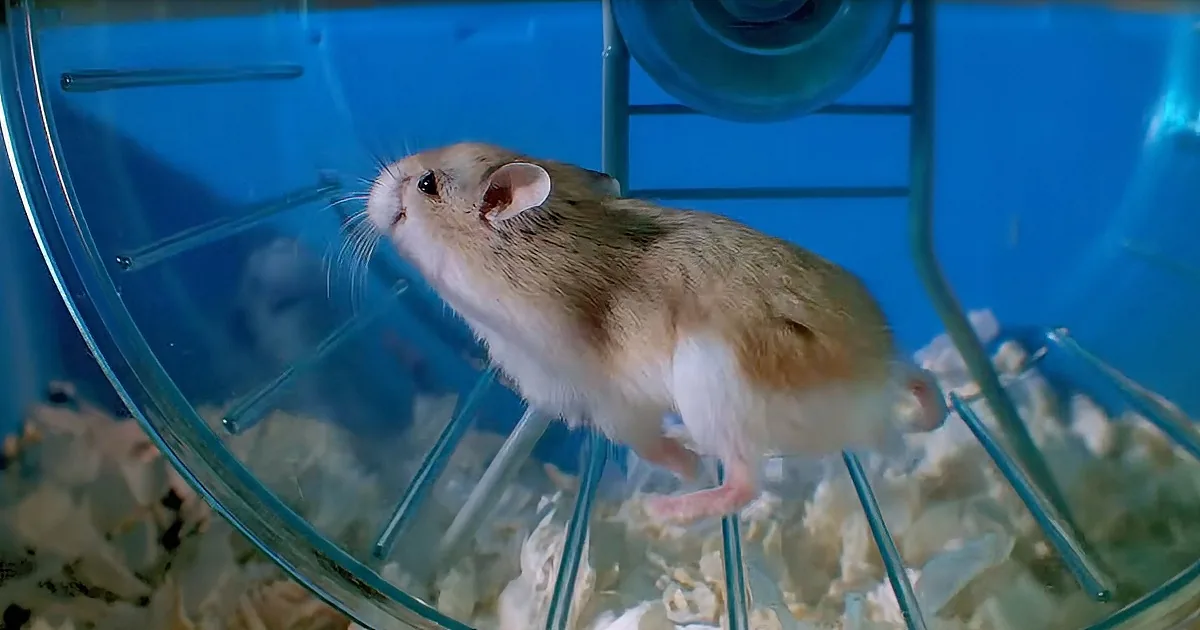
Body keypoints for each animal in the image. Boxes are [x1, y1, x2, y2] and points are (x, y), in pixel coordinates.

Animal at [365, 142, 947, 525]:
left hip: (713, 385)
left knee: (743, 483)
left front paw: (682, 470)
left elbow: (647, 445)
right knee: (924, 378)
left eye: (426, 184)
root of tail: (871, 390)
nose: (373, 186)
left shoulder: (601, 403)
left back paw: (663, 507)